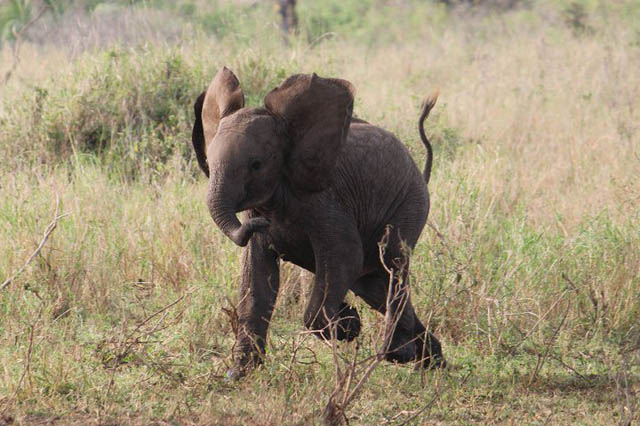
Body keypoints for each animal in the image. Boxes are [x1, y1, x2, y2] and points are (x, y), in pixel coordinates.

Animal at [192, 66, 448, 376]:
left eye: (256, 165)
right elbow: (257, 275)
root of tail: (420, 171)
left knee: (393, 265)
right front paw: (238, 375)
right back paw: (433, 362)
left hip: (409, 204)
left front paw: (350, 327)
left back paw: (399, 354)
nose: (261, 225)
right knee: (375, 285)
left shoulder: (324, 202)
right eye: (209, 162)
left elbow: (344, 255)